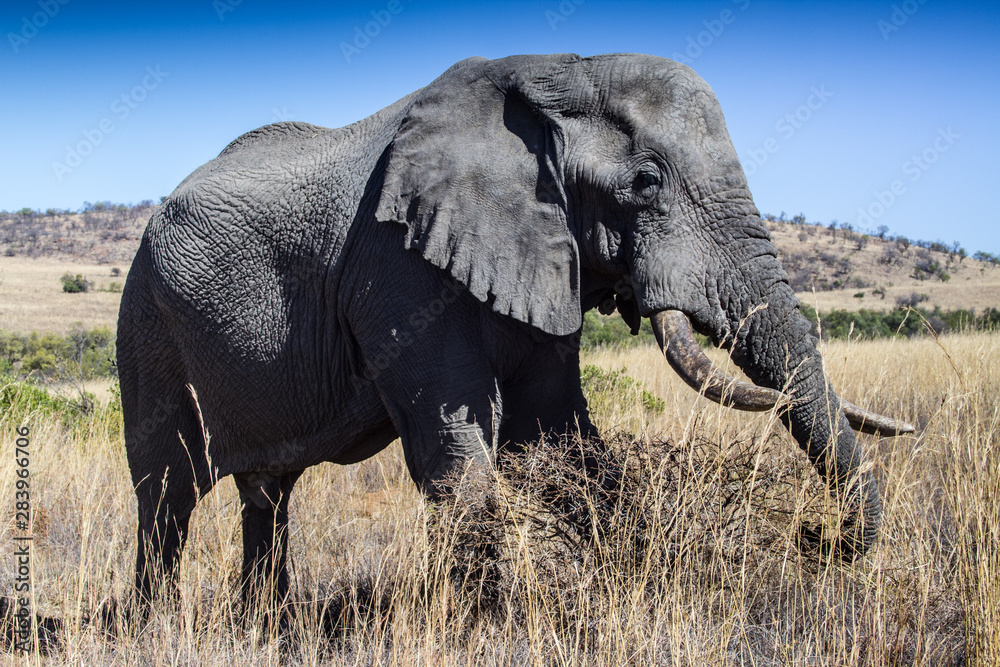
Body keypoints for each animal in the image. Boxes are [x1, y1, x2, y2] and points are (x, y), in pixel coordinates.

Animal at [116, 53, 913, 612]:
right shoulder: (396, 264)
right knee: (167, 493)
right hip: (146, 319)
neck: (559, 73)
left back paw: (267, 625)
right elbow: (453, 439)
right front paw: (492, 622)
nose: (817, 535)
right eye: (646, 182)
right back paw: (158, 625)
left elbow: (554, 427)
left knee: (267, 495)